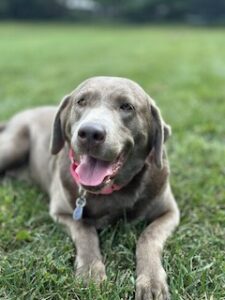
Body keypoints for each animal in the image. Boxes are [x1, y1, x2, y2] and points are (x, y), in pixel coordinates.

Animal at [0, 77, 179, 298]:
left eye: (127, 106)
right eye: (81, 101)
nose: (90, 133)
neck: (111, 191)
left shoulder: (170, 212)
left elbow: (148, 236)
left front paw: (151, 282)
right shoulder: (61, 213)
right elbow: (85, 230)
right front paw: (91, 273)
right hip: (13, 144)